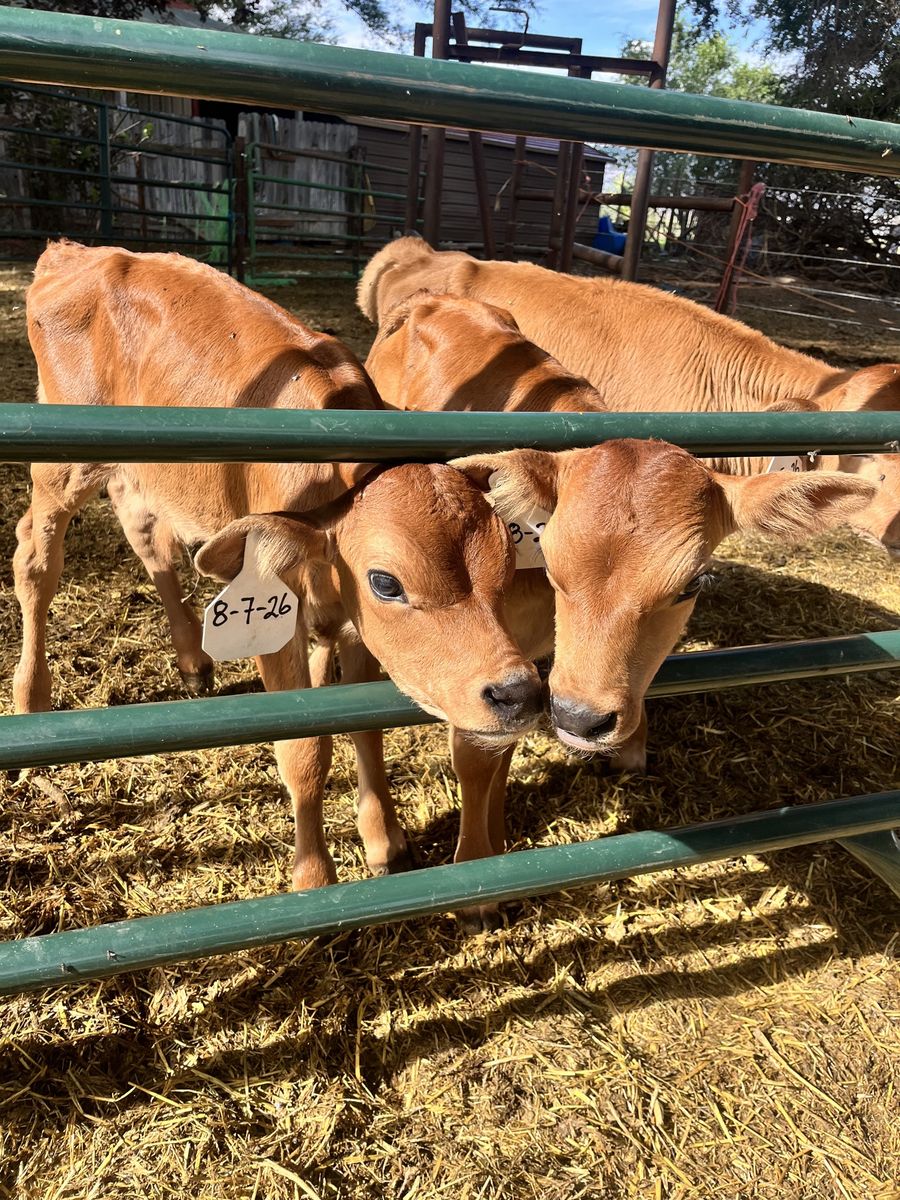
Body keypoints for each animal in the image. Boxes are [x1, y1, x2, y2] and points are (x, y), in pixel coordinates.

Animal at [15, 242, 543, 898]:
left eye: (504, 567)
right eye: (386, 582)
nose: (519, 693)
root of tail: (76, 252)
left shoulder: (353, 628)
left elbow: (364, 726)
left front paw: (384, 838)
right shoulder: (274, 621)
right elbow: (304, 751)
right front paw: (314, 876)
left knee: (149, 537)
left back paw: (192, 659)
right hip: (65, 463)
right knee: (35, 557)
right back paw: (31, 701)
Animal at [364, 290, 877, 925]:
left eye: (693, 582)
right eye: (554, 565)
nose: (583, 719)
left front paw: (502, 840)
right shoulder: (479, 664)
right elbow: (480, 752)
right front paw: (477, 880)